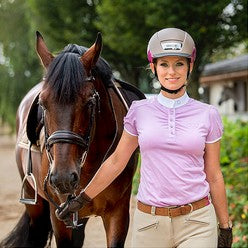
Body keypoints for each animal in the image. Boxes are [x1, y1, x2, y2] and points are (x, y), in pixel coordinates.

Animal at [0, 33, 143, 248]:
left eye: (89, 102)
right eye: (43, 103)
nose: (63, 178)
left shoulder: (118, 213)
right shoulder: (59, 215)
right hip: (35, 203)